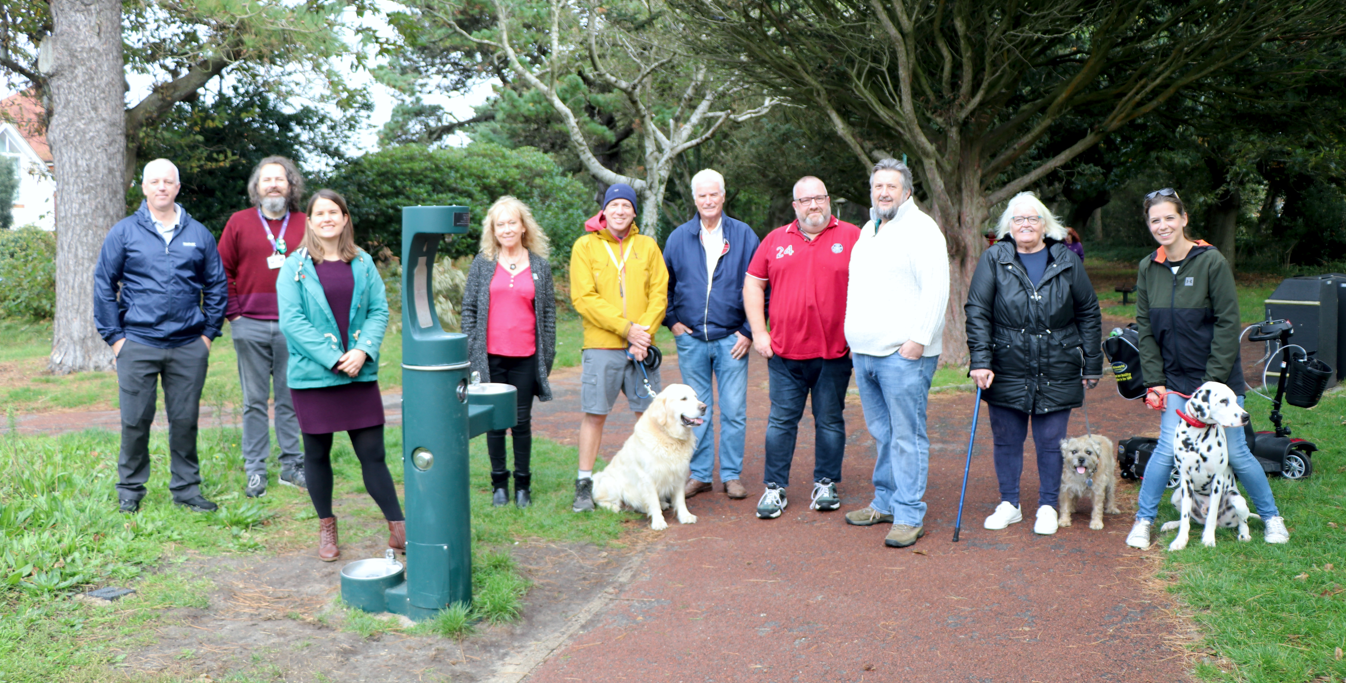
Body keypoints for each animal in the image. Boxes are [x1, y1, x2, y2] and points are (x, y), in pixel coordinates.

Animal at [594, 385, 710, 528]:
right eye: (683, 398)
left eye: (696, 397)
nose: (704, 407)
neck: (669, 437)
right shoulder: (648, 477)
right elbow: (653, 502)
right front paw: (659, 522)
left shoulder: (679, 473)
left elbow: (680, 499)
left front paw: (685, 516)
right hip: (611, 483)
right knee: (599, 499)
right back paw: (613, 507)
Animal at [1168, 382, 1259, 552]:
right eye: (1223, 401)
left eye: (1236, 400)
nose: (1246, 416)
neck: (1197, 435)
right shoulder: (1185, 480)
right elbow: (1185, 516)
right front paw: (1180, 540)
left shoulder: (1217, 480)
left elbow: (1211, 515)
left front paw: (1209, 539)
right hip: (1176, 495)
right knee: (1190, 518)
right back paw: (1171, 524)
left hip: (1237, 500)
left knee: (1242, 521)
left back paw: (1244, 535)